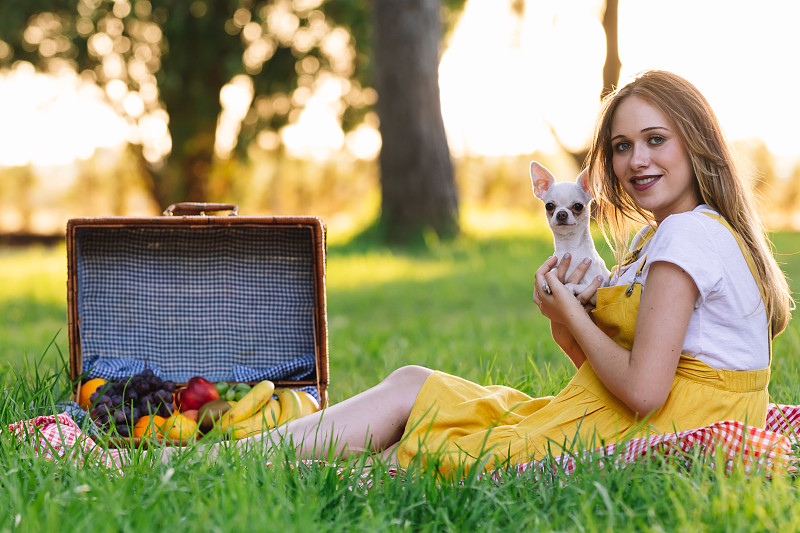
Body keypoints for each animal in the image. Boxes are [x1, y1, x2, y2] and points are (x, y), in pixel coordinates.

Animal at [528, 160, 608, 302]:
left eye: (578, 206)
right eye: (549, 206)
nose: (561, 213)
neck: (570, 248)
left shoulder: (597, 289)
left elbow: (571, 285)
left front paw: (568, 289)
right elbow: (552, 272)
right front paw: (547, 281)